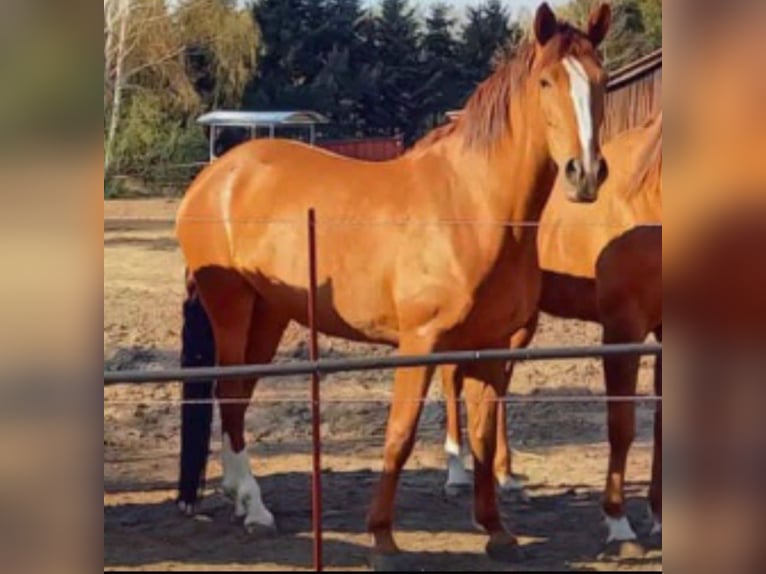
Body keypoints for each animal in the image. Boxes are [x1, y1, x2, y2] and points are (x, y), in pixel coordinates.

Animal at [177, 2, 616, 564]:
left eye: (601, 81)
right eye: (545, 81)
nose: (586, 174)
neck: (472, 208)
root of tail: (217, 176)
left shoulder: (491, 347)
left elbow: (483, 437)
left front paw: (496, 530)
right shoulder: (419, 343)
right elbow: (400, 435)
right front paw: (382, 538)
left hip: (270, 313)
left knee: (239, 393)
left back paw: (239, 496)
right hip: (231, 306)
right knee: (230, 391)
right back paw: (255, 508)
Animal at [444, 110, 664, 556]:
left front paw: (660, 516)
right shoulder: (622, 331)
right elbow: (622, 425)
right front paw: (618, 522)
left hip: (516, 326)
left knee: (496, 389)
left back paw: (506, 477)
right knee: (449, 376)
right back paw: (455, 468)